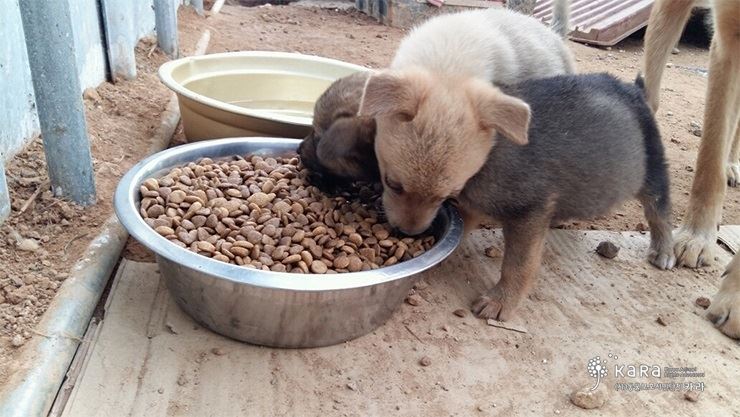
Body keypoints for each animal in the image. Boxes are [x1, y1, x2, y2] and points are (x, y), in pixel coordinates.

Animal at [358, 70, 676, 318]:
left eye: (443, 197)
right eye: (393, 184)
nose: (407, 233)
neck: (489, 156)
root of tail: (633, 89)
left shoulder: (530, 212)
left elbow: (518, 264)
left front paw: (501, 302)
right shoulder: (472, 205)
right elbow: (462, 231)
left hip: (653, 173)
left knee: (659, 211)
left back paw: (664, 250)